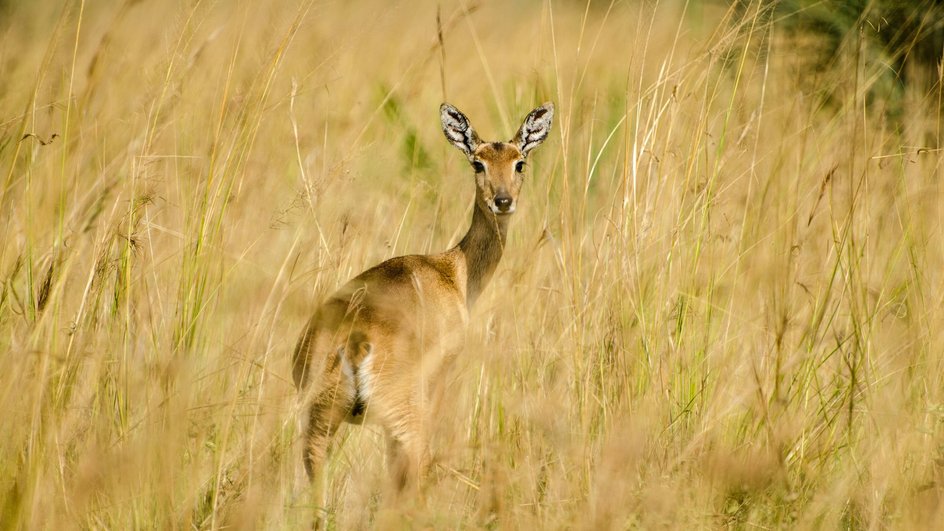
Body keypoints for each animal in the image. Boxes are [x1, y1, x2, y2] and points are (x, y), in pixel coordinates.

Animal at [296, 102, 552, 500]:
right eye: (477, 163)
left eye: (519, 162)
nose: (502, 201)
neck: (453, 271)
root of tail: (353, 343)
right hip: (402, 418)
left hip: (319, 425)